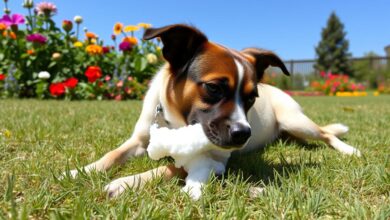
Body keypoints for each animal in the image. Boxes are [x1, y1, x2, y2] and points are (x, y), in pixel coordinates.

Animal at [65, 24, 362, 199]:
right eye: (214, 88)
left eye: (251, 97)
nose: (244, 134)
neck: (175, 124)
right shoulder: (139, 140)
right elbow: (112, 155)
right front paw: (83, 171)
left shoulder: (214, 159)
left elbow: (169, 169)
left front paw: (125, 183)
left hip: (295, 120)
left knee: (326, 134)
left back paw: (350, 150)